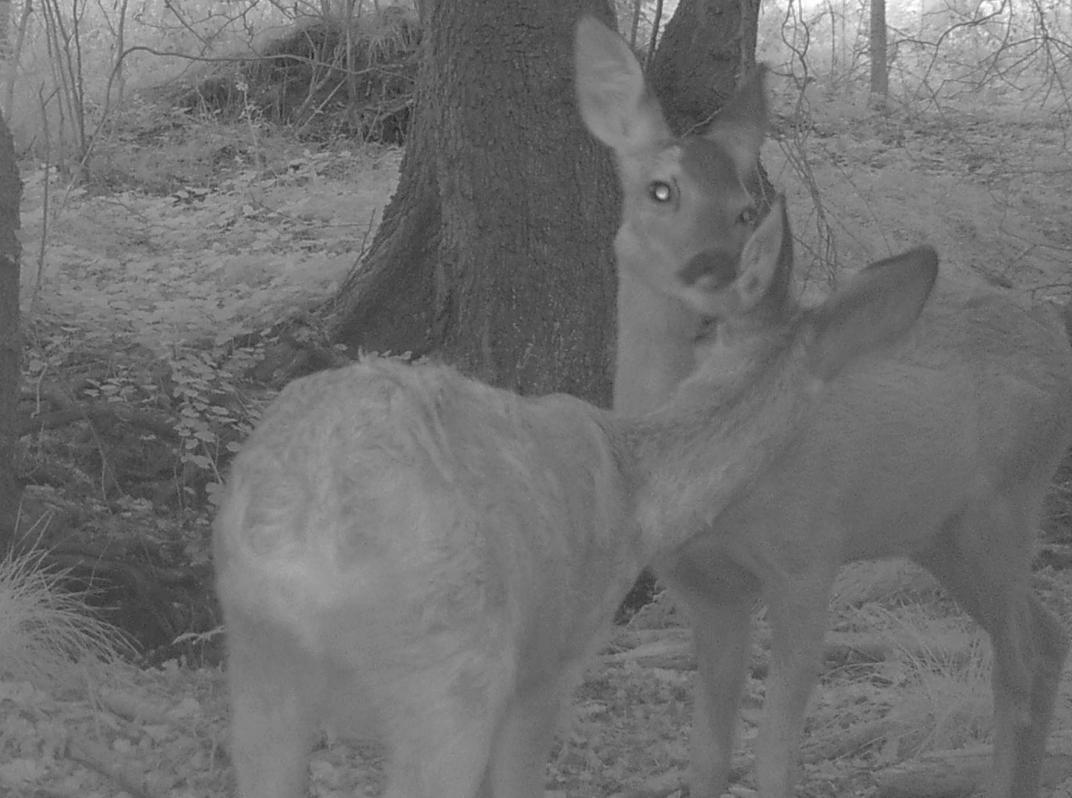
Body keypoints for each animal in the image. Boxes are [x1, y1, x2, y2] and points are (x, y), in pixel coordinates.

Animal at [574, 12, 1072, 798]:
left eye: (746, 208)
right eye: (660, 190)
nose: (713, 266)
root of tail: (1054, 327)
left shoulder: (807, 558)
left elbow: (776, 759)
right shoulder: (702, 587)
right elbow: (708, 758)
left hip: (1004, 509)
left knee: (1018, 661)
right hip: (939, 534)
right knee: (1048, 637)